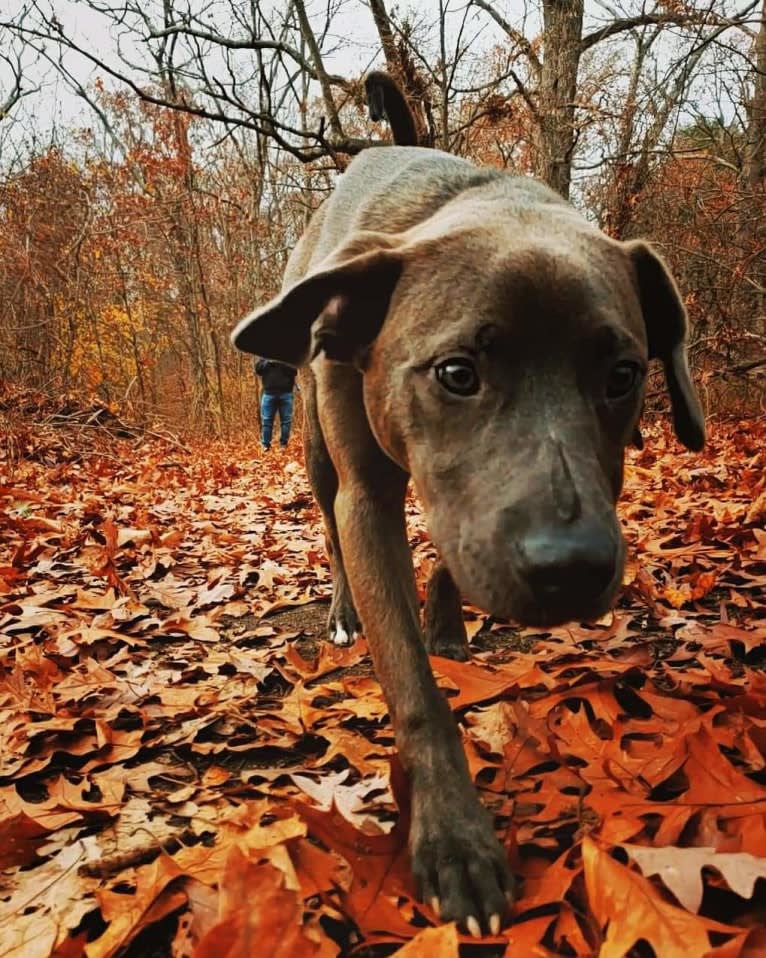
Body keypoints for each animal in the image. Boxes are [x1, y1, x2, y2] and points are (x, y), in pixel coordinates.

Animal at [230, 73, 708, 936]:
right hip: (313, 445)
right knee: (328, 530)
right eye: (457, 373)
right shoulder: (366, 500)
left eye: (623, 374)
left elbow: (451, 555)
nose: (572, 568)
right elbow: (415, 691)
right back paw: (342, 612)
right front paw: (455, 839)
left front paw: (447, 622)